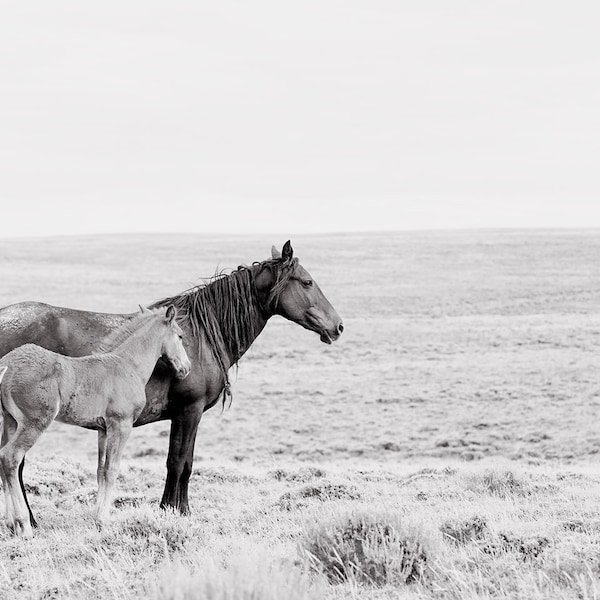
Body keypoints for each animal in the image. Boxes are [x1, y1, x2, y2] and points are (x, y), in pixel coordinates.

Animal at [0, 308, 190, 536]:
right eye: (180, 336)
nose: (187, 368)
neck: (127, 365)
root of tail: (7, 364)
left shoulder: (103, 430)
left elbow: (101, 470)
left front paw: (97, 519)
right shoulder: (121, 425)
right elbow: (112, 469)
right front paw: (105, 520)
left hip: (10, 422)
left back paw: (11, 523)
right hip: (34, 423)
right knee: (11, 457)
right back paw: (24, 525)